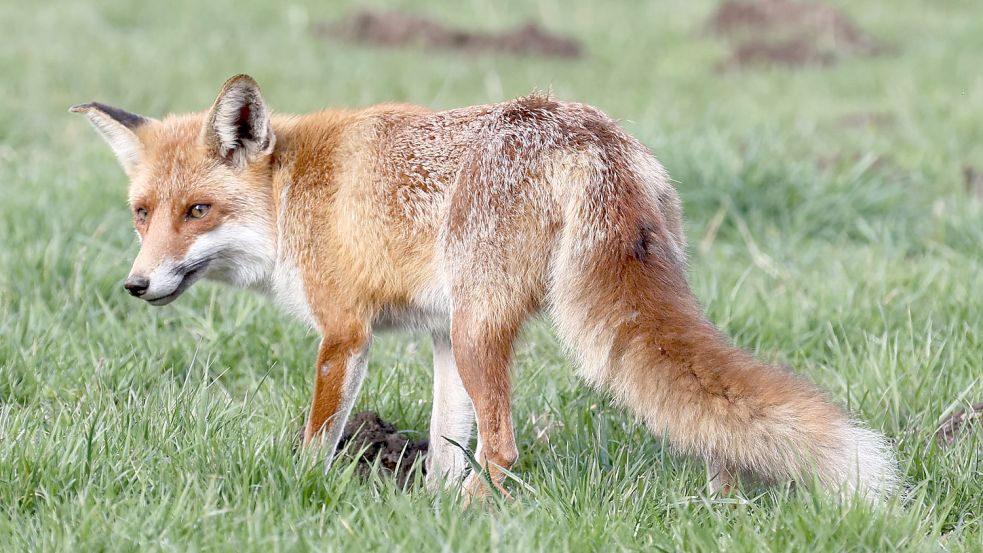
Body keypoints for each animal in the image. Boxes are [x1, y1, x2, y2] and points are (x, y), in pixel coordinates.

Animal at [69, 73, 900, 500]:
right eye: (142, 212)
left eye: (197, 211)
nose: (136, 283)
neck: (289, 196)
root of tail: (589, 132)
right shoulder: (435, 333)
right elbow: (443, 445)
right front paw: (425, 509)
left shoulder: (345, 332)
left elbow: (317, 438)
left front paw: (302, 498)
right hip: (554, 318)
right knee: (706, 410)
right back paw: (720, 499)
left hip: (480, 330)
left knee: (503, 449)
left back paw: (479, 513)